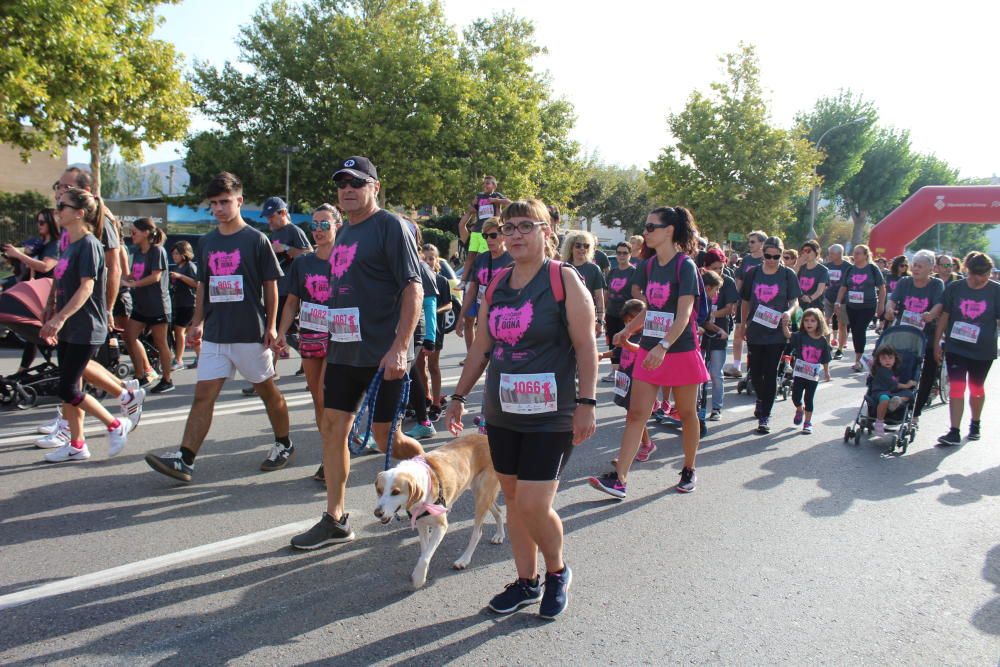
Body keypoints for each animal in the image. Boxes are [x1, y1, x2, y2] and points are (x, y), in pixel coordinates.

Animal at [374, 430, 504, 588]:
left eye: (395, 492)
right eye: (379, 490)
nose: (377, 513)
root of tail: (484, 437)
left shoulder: (441, 526)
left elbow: (425, 557)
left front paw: (418, 578)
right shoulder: (421, 524)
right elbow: (425, 551)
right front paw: (423, 572)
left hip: (482, 495)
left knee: (477, 533)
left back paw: (464, 560)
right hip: (481, 493)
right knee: (498, 511)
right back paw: (499, 535)